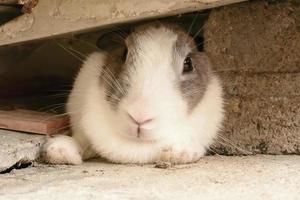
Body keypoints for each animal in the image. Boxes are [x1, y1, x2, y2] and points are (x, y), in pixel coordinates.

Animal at [41, 22, 224, 165]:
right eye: (124, 54)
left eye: (188, 63)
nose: (139, 117)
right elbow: (81, 138)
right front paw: (59, 150)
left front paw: (181, 153)